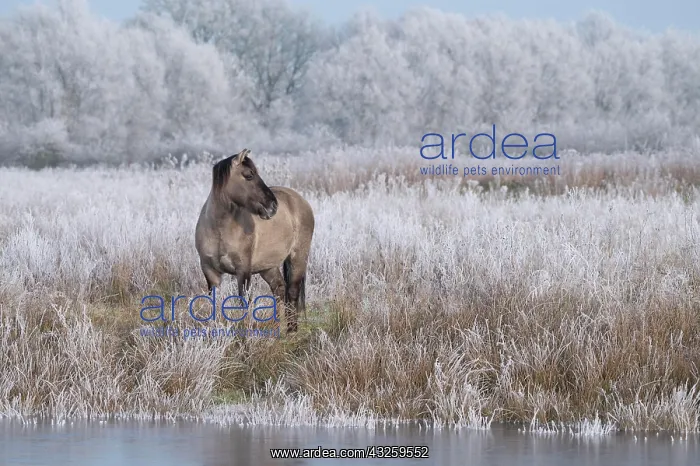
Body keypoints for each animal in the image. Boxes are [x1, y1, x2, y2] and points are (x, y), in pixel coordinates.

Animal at [195, 149, 314, 333]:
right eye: (249, 175)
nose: (273, 206)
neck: (219, 229)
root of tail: (299, 200)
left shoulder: (243, 271)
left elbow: (244, 303)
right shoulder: (210, 271)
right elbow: (213, 302)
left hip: (298, 258)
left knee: (292, 292)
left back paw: (292, 330)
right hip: (268, 266)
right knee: (279, 289)